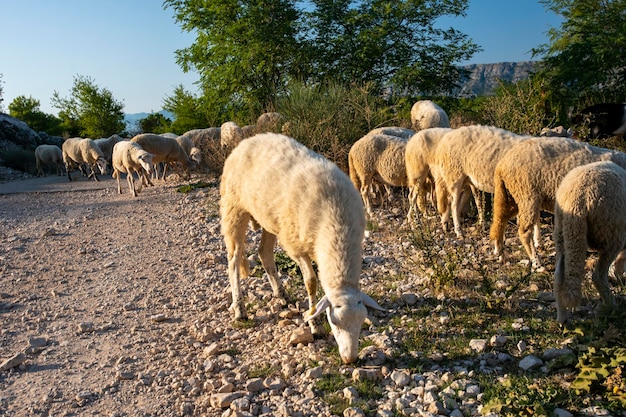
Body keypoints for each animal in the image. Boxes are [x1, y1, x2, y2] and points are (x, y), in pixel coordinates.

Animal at [219, 132, 386, 362]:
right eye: (334, 322)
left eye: (361, 322)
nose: (350, 359)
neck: (337, 225)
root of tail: (248, 140)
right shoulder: (295, 245)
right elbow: (311, 282)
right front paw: (314, 324)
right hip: (234, 206)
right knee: (234, 259)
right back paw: (240, 309)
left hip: (270, 217)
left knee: (264, 252)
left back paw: (281, 294)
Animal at [488, 136, 624, 266]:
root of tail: (502, 165)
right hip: (526, 193)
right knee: (524, 231)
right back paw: (536, 262)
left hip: (510, 194)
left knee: (500, 220)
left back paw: (500, 253)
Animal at [552, 161, 624, 324]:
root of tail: (576, 200)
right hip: (612, 234)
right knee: (598, 276)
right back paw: (611, 306)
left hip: (563, 233)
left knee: (559, 276)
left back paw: (562, 318)